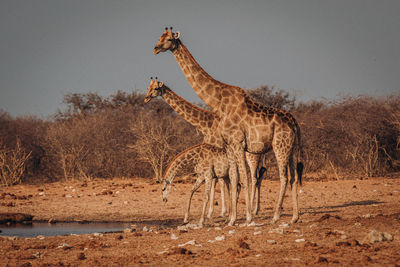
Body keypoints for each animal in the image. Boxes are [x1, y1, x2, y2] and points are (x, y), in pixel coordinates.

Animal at [145, 78, 268, 218]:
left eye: (155, 88)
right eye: (148, 87)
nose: (146, 98)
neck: (206, 124)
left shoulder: (217, 151)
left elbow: (218, 181)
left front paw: (215, 212)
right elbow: (220, 181)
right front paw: (220, 212)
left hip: (251, 157)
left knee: (253, 178)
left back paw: (251, 209)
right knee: (259, 176)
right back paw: (255, 209)